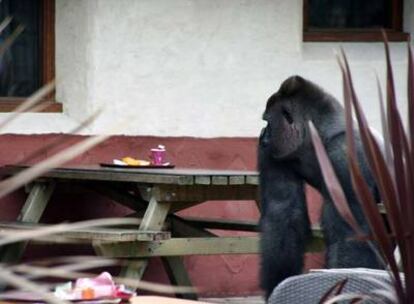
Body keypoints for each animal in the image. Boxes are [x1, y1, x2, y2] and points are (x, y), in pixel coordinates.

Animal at [258, 75, 382, 298]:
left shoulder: (346, 155)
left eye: (268, 122)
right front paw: (276, 285)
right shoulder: (278, 152)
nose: (262, 137)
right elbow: (282, 213)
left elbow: (349, 234)